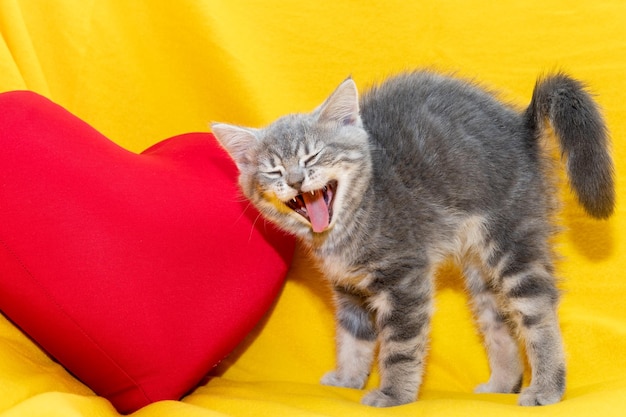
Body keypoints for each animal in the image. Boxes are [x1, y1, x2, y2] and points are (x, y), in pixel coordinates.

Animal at [212, 70, 612, 406]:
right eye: (274, 170)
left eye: (313, 157)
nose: (295, 180)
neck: (353, 220)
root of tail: (521, 125)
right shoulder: (348, 289)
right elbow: (353, 339)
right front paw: (348, 379)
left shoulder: (404, 277)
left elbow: (400, 345)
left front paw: (393, 393)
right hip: (481, 271)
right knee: (499, 323)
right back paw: (502, 384)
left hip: (512, 242)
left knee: (538, 315)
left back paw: (546, 389)